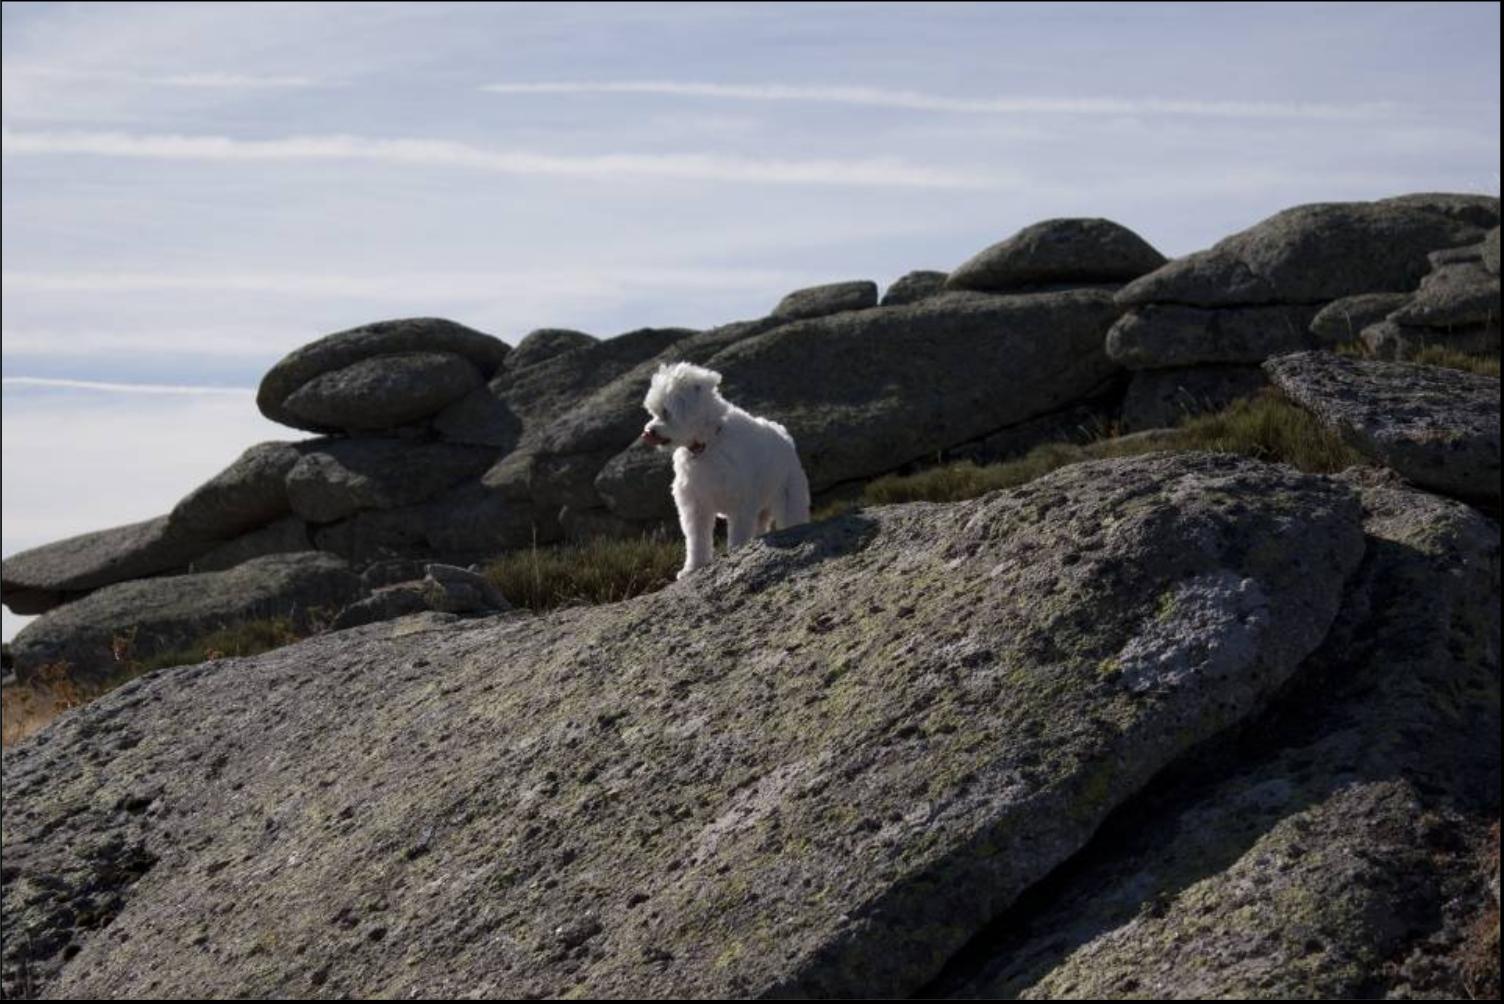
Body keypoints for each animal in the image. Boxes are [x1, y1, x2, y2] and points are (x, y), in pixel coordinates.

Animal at [643, 362, 818, 580]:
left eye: (666, 412)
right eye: (654, 412)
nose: (648, 431)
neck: (708, 443)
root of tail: (784, 435)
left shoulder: (740, 504)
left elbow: (737, 537)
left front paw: (735, 556)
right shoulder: (695, 505)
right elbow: (696, 540)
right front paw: (693, 568)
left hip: (789, 495)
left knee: (791, 518)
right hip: (761, 508)